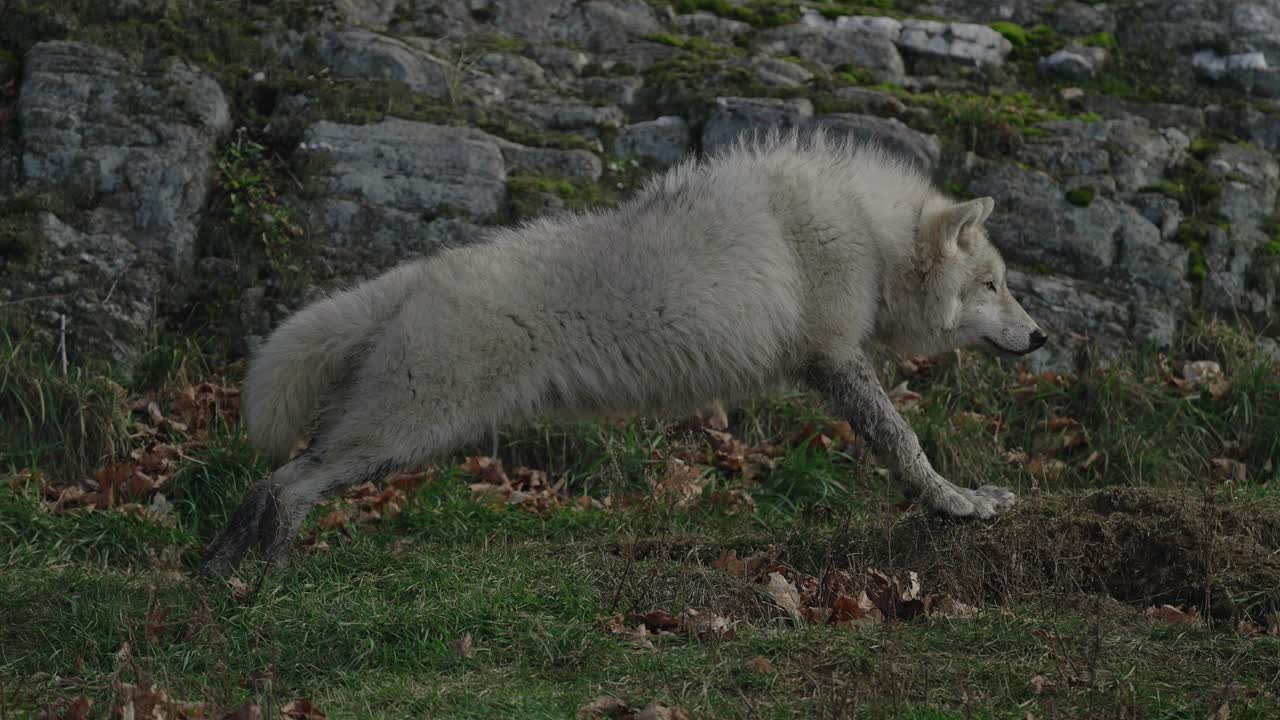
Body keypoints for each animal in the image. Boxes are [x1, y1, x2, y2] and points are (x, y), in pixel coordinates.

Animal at [203, 129, 1047, 574]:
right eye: (996, 285)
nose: (1041, 337)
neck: (868, 234)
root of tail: (420, 275)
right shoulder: (836, 362)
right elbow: (906, 444)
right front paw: (959, 503)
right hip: (403, 439)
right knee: (287, 483)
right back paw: (264, 571)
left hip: (394, 439)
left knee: (273, 482)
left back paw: (225, 568)